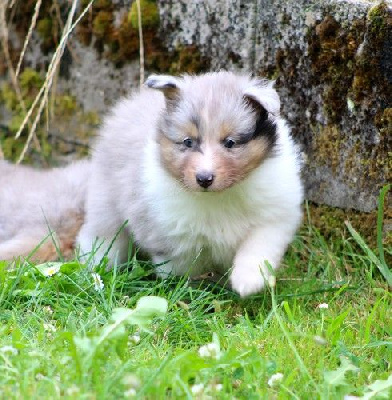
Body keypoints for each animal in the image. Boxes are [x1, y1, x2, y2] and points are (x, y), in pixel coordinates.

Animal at [77, 72, 304, 296]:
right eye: (188, 142)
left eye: (230, 142)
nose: (204, 179)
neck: (220, 197)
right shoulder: (175, 239)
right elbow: (186, 271)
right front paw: (189, 294)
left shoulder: (273, 216)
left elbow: (258, 246)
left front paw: (248, 281)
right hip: (105, 206)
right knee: (102, 236)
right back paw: (94, 269)